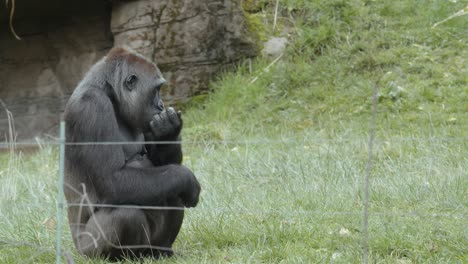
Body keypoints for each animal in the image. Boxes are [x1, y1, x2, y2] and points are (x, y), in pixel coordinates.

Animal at [62, 47, 201, 260]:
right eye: (156, 90)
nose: (161, 105)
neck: (110, 92)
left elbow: (164, 166)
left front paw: (169, 131)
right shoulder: (92, 106)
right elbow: (112, 181)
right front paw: (187, 179)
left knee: (172, 190)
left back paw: (160, 251)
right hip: (86, 250)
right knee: (126, 214)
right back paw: (121, 257)